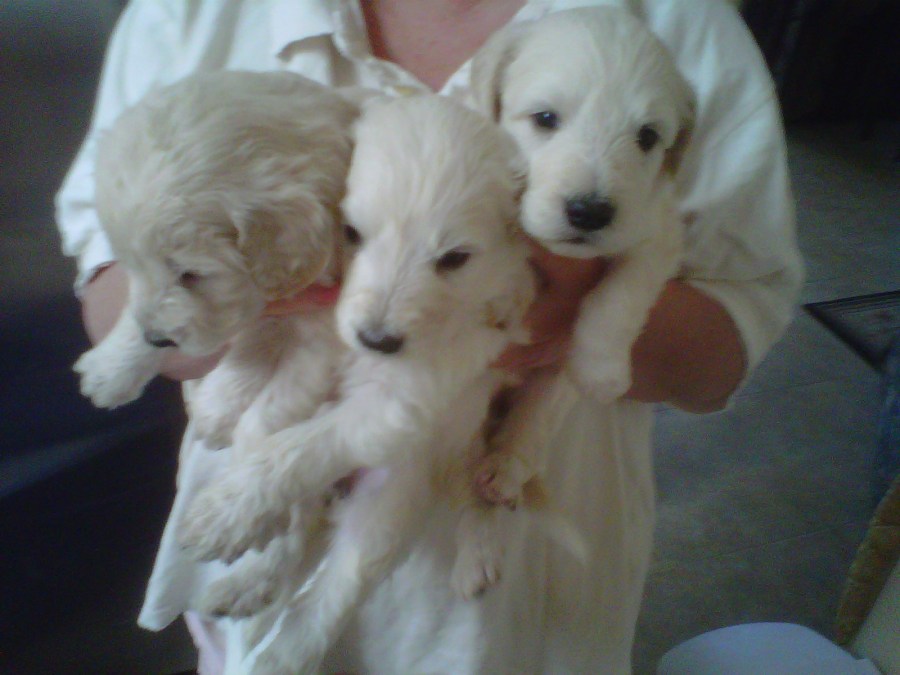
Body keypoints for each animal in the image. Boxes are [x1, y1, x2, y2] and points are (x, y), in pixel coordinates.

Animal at [178, 94, 538, 674]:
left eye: (455, 258)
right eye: (350, 233)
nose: (377, 339)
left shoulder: (406, 401)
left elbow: (299, 446)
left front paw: (226, 511)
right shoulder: (316, 336)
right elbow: (264, 416)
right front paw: (223, 426)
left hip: (390, 498)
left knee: (339, 589)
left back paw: (281, 654)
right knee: (296, 533)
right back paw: (248, 583)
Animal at [467, 7, 696, 506]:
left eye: (647, 136)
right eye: (545, 118)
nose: (589, 212)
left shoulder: (656, 232)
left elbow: (621, 296)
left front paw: (602, 369)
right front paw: (505, 293)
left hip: (551, 381)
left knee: (534, 416)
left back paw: (505, 467)